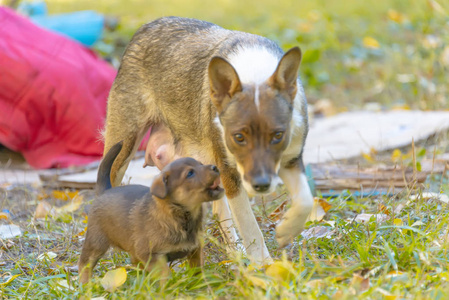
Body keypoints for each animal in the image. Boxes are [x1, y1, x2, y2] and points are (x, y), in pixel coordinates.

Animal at [79, 141, 224, 284]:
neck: (181, 216)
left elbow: (197, 269)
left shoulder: (195, 249)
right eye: (190, 173)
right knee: (85, 264)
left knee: (135, 262)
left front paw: (200, 283)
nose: (215, 167)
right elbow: (165, 272)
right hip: (96, 243)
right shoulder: (150, 254)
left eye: (201, 164)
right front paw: (167, 286)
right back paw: (85, 284)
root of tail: (105, 190)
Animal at [102, 17, 312, 264]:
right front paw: (265, 266)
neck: (254, 74)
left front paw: (286, 231)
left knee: (219, 211)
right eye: (238, 137)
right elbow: (251, 226)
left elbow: (306, 200)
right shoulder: (231, 175)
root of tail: (148, 25)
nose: (260, 185)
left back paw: (234, 254)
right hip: (123, 147)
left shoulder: (291, 160)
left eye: (278, 135)